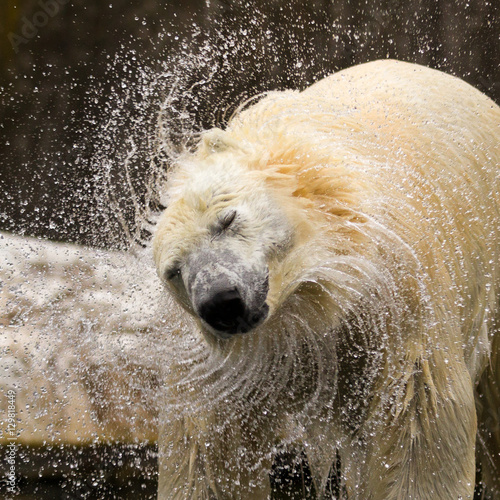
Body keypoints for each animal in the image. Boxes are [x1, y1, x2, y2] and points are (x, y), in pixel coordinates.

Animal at [152, 60, 500, 498]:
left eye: (226, 219)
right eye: (174, 271)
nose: (220, 300)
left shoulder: (399, 298)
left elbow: (418, 425)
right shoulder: (223, 369)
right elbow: (209, 447)